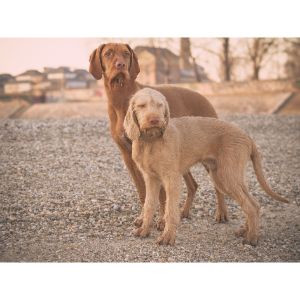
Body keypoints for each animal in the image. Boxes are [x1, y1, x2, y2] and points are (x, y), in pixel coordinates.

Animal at [88, 42, 224, 227]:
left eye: (126, 53)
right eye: (108, 53)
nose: (120, 65)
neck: (121, 97)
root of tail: (204, 97)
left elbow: (161, 194)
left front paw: (161, 220)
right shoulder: (128, 156)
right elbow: (143, 192)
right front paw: (143, 218)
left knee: (218, 186)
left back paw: (221, 213)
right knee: (193, 185)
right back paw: (183, 212)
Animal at [124, 87, 288, 246]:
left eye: (160, 105)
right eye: (142, 106)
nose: (155, 120)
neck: (150, 141)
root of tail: (247, 136)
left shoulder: (172, 179)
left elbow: (170, 210)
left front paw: (167, 237)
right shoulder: (151, 179)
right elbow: (149, 205)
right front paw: (144, 230)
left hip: (227, 177)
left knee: (251, 206)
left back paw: (252, 238)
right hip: (224, 177)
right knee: (254, 203)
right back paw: (245, 230)